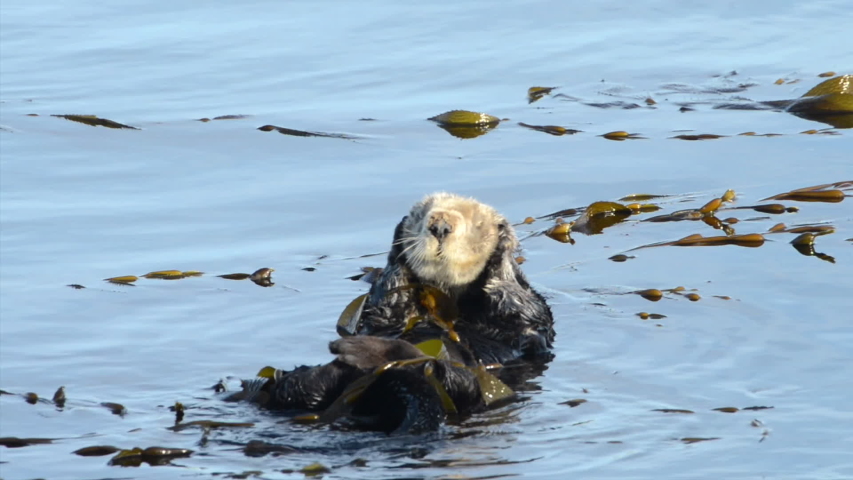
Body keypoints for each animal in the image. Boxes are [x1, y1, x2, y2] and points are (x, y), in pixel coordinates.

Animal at [233, 193, 555, 433]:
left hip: (463, 386)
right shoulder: (384, 310)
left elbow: (516, 305)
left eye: (475, 223)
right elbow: (386, 303)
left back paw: (364, 352)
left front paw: (501, 248)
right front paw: (398, 244)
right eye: (421, 215)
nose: (440, 226)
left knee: (441, 372)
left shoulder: (527, 312)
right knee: (295, 388)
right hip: (301, 388)